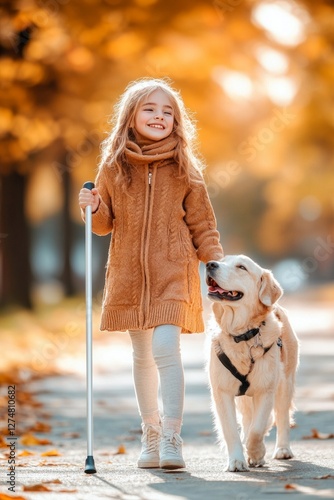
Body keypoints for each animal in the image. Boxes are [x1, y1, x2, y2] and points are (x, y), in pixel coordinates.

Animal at [206, 256, 300, 470]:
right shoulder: (222, 392)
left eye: (242, 267)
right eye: (222, 260)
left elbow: (257, 429)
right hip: (244, 399)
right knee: (248, 419)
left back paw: (282, 449)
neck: (241, 335)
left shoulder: (266, 389)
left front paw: (256, 454)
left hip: (285, 383)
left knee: (282, 416)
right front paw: (237, 460)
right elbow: (231, 430)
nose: (210, 264)